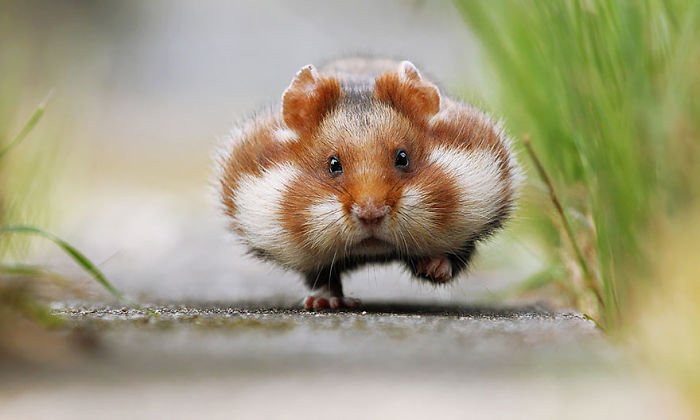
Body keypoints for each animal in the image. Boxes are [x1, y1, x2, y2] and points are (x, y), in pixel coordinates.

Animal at [217, 57, 520, 310]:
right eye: (333, 164)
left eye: (403, 157)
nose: (371, 214)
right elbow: (321, 276)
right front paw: (325, 303)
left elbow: (453, 258)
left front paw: (433, 268)